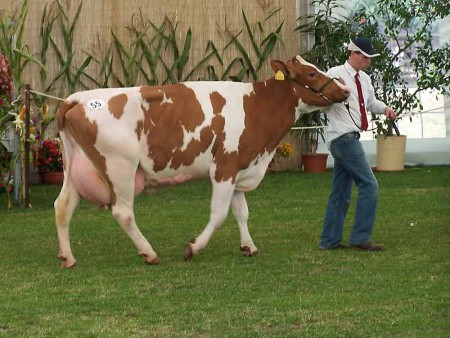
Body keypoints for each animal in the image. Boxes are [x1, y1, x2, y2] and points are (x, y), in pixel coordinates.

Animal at [54, 54, 350, 266]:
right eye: (311, 73)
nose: (345, 90)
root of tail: (77, 98)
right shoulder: (225, 166)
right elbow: (219, 214)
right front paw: (193, 248)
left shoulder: (238, 165)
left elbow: (242, 211)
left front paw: (249, 246)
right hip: (120, 167)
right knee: (122, 212)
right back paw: (149, 253)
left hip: (76, 168)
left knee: (63, 206)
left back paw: (68, 257)